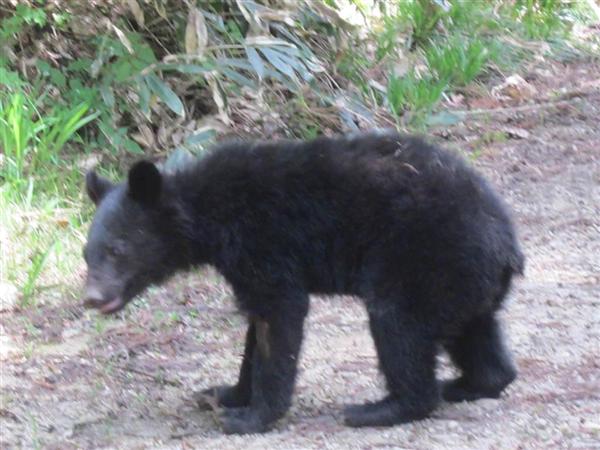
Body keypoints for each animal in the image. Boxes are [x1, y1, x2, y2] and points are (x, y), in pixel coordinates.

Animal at [82, 130, 524, 432]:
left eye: (117, 250)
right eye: (86, 254)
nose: (92, 297)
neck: (207, 213)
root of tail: (507, 244)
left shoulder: (264, 239)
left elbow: (279, 317)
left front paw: (250, 417)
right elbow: (255, 327)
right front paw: (225, 394)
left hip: (419, 257)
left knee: (399, 327)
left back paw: (381, 408)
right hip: (458, 277)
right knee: (475, 332)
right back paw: (470, 383)